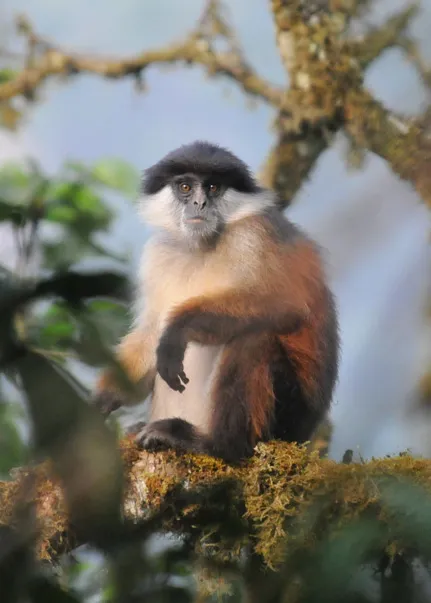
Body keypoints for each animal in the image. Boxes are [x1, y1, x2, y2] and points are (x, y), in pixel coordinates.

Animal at [93, 140, 340, 462]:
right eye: (185, 187)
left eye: (212, 187)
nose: (199, 203)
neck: (202, 246)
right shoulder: (157, 254)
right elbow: (150, 335)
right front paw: (101, 400)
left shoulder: (253, 235)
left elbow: (286, 305)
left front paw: (178, 329)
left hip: (286, 421)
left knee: (254, 339)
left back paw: (216, 444)